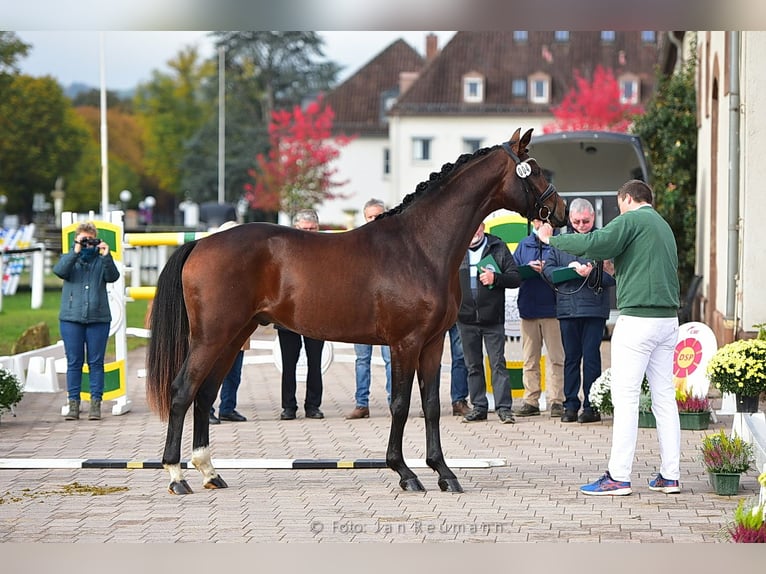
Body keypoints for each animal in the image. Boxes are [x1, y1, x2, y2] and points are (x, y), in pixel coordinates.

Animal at [145, 127, 568, 495]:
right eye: (536, 170)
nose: (561, 210)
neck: (419, 246)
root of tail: (201, 244)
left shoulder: (432, 344)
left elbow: (431, 406)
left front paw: (444, 473)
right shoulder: (405, 344)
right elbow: (400, 405)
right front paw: (405, 472)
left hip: (235, 336)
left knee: (204, 395)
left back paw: (209, 472)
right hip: (211, 337)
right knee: (182, 392)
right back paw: (176, 475)